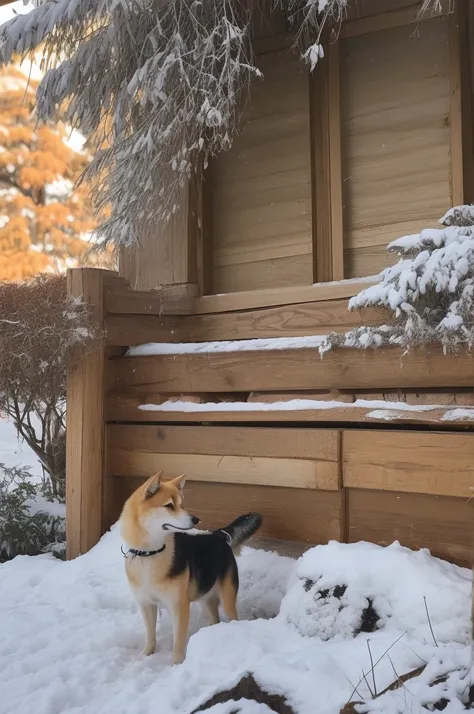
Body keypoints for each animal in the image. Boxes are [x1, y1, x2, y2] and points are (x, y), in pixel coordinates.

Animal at [119, 470, 262, 664]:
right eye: (169, 505)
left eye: (182, 504)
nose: (196, 519)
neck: (151, 553)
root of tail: (218, 535)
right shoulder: (146, 604)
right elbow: (150, 635)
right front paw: (145, 655)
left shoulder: (179, 606)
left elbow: (178, 641)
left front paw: (176, 664)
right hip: (206, 597)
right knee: (215, 618)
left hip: (227, 598)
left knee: (232, 616)